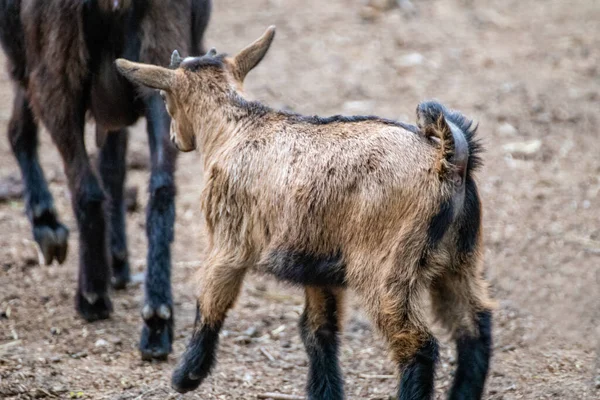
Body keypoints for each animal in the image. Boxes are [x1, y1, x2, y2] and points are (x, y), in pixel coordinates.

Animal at [0, 0, 211, 360]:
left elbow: (21, 129)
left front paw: (47, 224)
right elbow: (113, 162)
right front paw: (119, 261)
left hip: (55, 63)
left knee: (83, 186)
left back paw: (92, 296)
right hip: (163, 49)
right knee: (161, 186)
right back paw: (157, 319)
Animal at [116, 27, 492, 400]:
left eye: (165, 98)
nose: (175, 138)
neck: (236, 127)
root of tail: (448, 160)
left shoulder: (229, 242)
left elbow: (211, 301)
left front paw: (186, 376)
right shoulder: (317, 265)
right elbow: (318, 331)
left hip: (387, 268)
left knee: (417, 344)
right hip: (459, 261)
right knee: (475, 328)